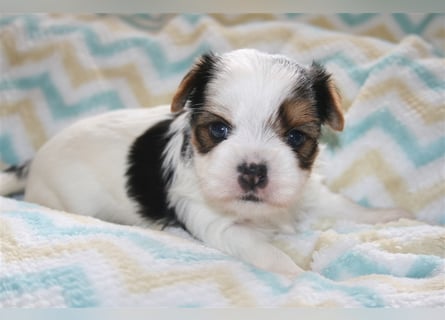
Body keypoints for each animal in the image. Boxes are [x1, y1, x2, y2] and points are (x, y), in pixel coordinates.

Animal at [0, 48, 410, 276]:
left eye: (295, 137)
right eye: (218, 129)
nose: (253, 171)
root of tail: (34, 161)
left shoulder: (303, 190)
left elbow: (339, 204)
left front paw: (386, 215)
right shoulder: (214, 222)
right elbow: (263, 250)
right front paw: (301, 276)